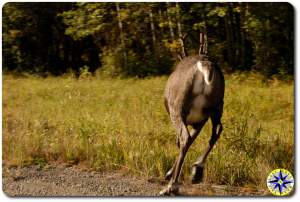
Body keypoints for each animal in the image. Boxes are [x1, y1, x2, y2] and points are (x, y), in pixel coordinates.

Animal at [161, 33, 224, 196]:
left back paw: (171, 186)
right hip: (215, 107)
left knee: (184, 138)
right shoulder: (198, 122)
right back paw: (197, 171)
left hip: (178, 109)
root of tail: (204, 66)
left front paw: (169, 174)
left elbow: (180, 142)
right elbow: (189, 141)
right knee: (217, 131)